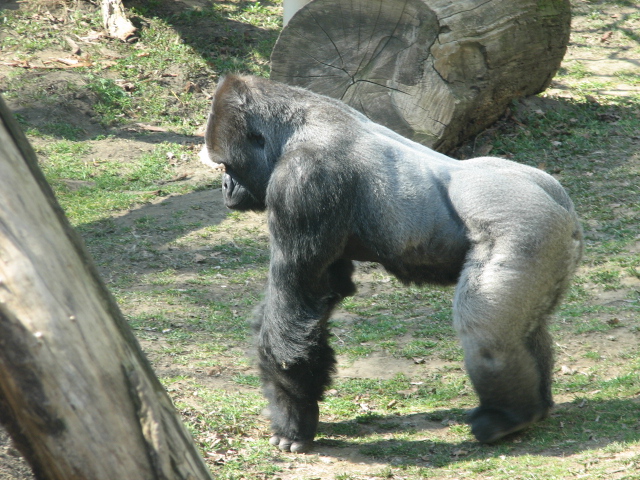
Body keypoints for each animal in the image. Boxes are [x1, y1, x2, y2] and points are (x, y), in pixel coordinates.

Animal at [202, 74, 583, 453]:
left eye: (227, 166)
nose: (224, 185)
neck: (296, 128)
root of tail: (561, 201)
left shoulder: (302, 183)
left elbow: (294, 313)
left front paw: (292, 418)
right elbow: (322, 294)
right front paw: (300, 409)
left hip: (525, 227)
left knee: (487, 332)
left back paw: (507, 417)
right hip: (550, 242)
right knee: (524, 329)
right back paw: (537, 406)